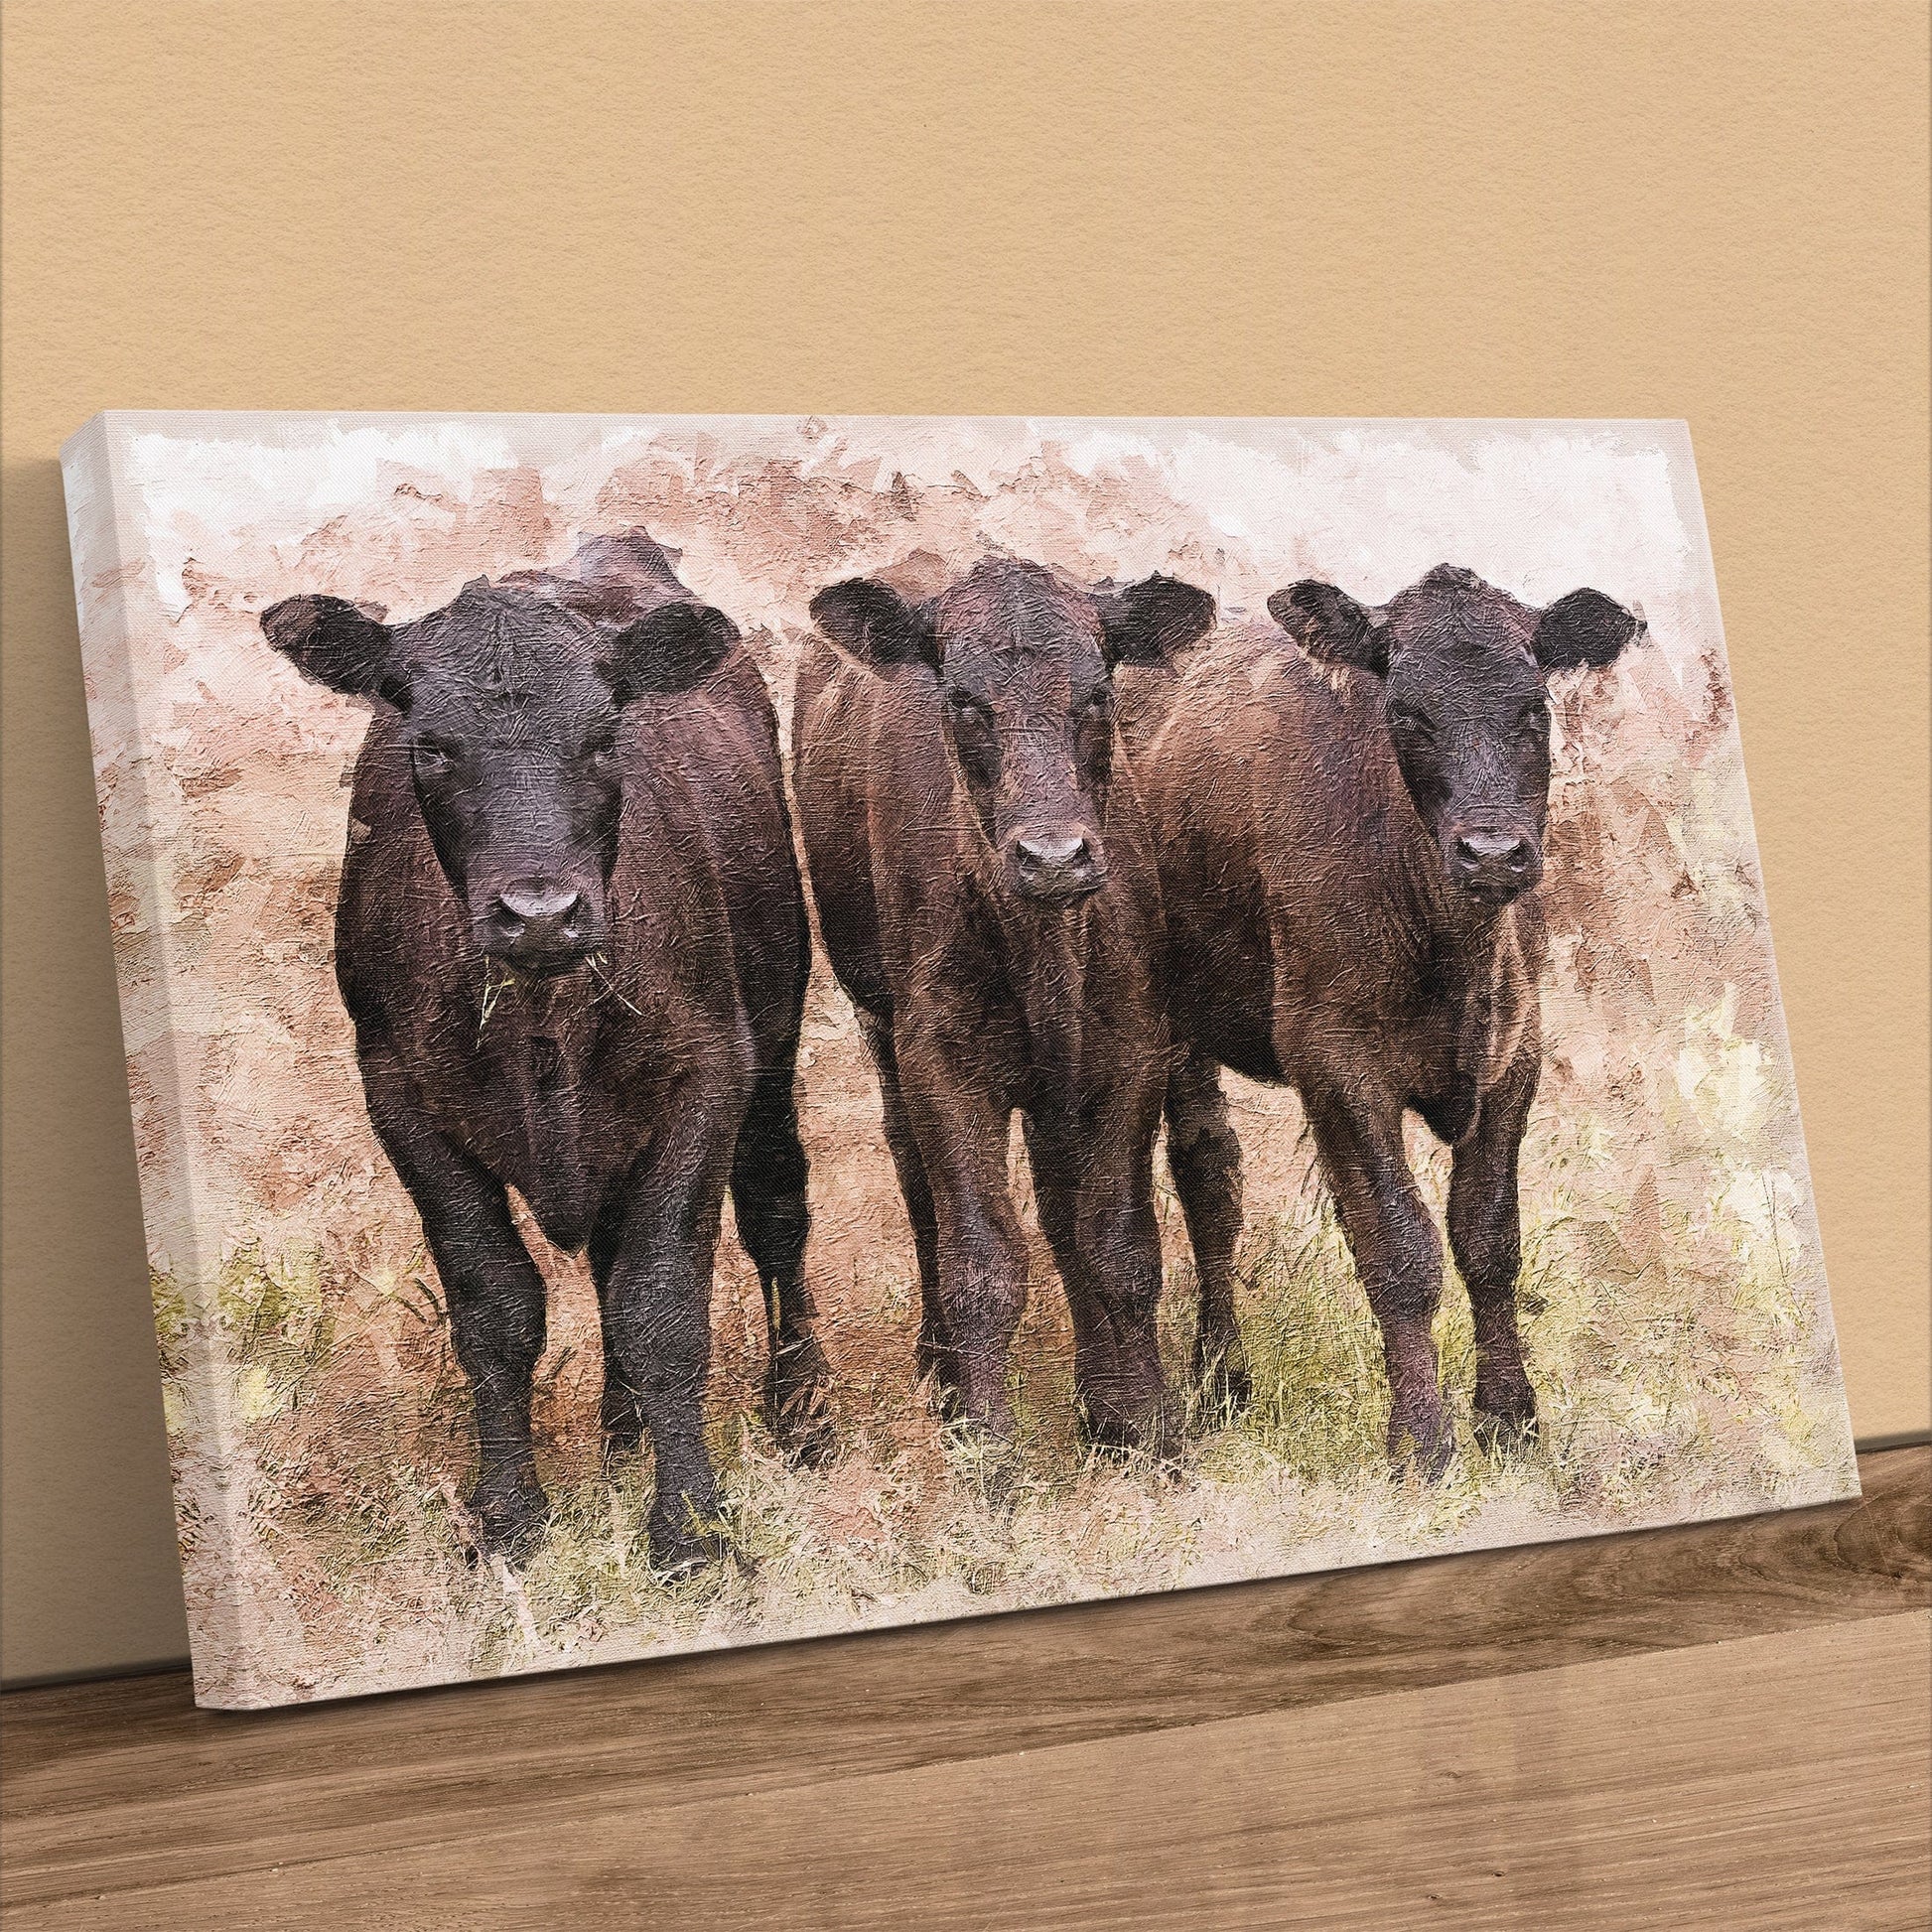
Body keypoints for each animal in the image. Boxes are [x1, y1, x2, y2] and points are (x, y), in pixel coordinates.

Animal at [261, 529, 833, 1572]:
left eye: (605, 737)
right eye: (430, 745)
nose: (539, 912)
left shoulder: (708, 1074)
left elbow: (662, 1306)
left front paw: (692, 1531)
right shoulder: (400, 1100)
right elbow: (495, 1307)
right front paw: (508, 1519)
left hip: (774, 1043)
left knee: (775, 1214)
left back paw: (802, 1412)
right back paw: (621, 1438)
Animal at [792, 557, 1217, 1475]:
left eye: (1098, 693)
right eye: (963, 701)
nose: (1053, 856)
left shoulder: (1132, 1050)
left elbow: (1119, 1246)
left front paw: (1152, 1427)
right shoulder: (940, 1061)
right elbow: (982, 1263)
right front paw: (987, 1453)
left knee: (1061, 1208)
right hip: (883, 1031)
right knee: (917, 1181)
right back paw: (942, 1371)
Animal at [1129, 562, 1643, 1475]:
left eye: (1534, 709)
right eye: (1407, 714)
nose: (1492, 852)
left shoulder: (1516, 1054)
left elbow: (1488, 1239)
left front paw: (1510, 1418)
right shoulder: (1332, 1062)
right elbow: (1400, 1250)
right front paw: (1422, 1442)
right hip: (1170, 1026)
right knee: (1207, 1177)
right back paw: (1221, 1380)